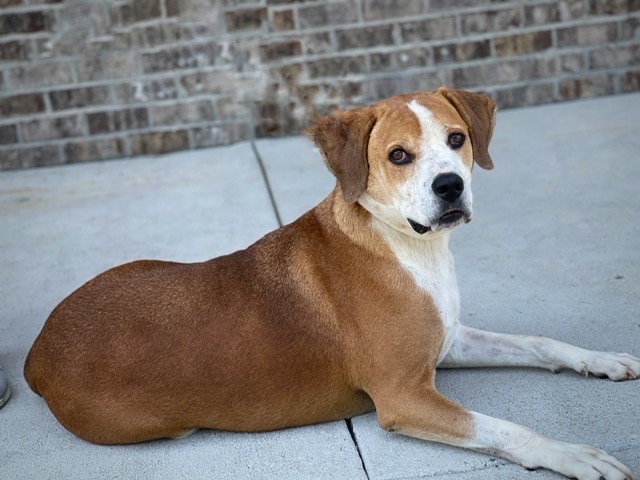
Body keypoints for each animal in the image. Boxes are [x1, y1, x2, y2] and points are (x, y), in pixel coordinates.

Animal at [25, 87, 640, 480]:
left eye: (457, 139)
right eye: (398, 155)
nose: (450, 186)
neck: (405, 243)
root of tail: (37, 352)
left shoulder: (447, 342)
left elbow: (540, 342)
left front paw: (601, 359)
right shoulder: (402, 396)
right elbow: (509, 429)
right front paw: (573, 454)